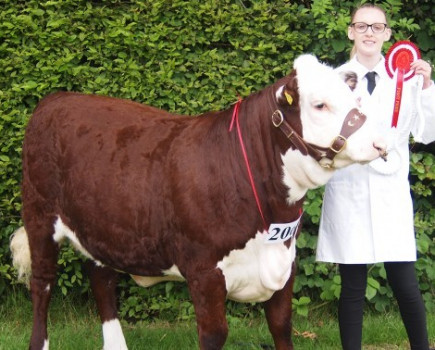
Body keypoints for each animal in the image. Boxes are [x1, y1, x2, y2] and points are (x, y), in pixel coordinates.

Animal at [10, 54, 386, 350]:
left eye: (355, 102)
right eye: (320, 104)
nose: (381, 142)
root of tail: (55, 98)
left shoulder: (285, 263)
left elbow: (282, 327)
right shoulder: (204, 271)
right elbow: (215, 334)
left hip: (101, 224)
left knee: (101, 278)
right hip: (39, 216)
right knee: (42, 285)